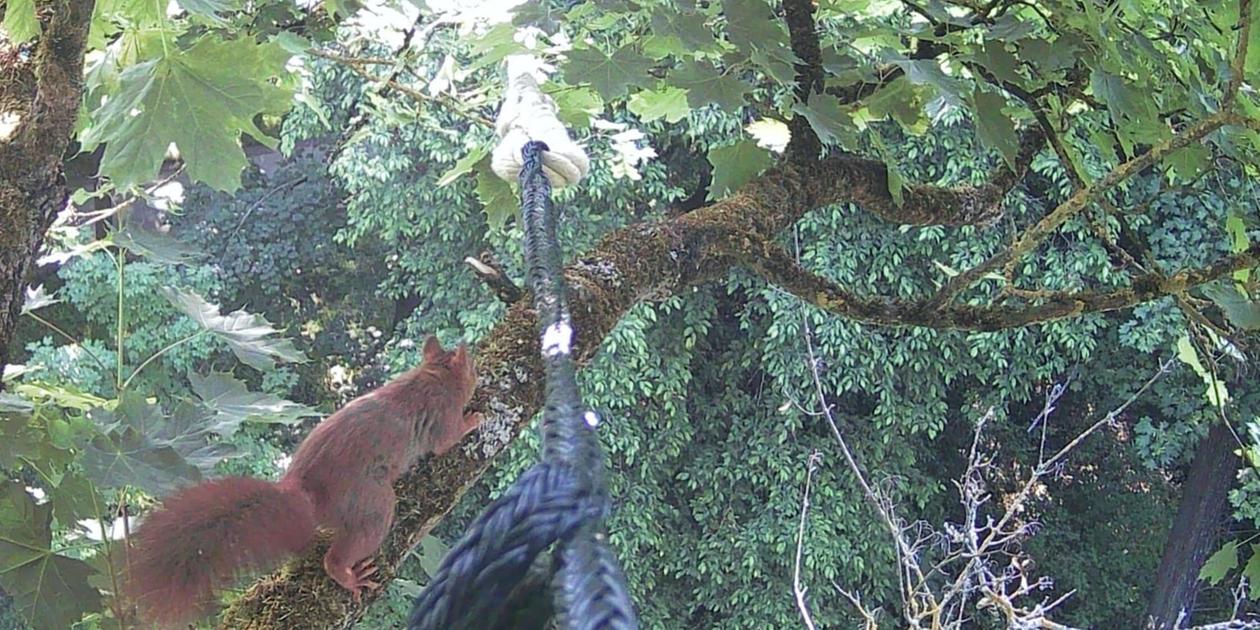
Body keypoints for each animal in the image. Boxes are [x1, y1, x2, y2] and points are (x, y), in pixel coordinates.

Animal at [125, 336, 482, 627]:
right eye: (473, 369)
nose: (478, 374)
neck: (431, 375)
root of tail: (299, 487)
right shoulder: (443, 417)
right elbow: (448, 440)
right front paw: (476, 418)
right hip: (369, 501)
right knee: (347, 547)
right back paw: (348, 575)